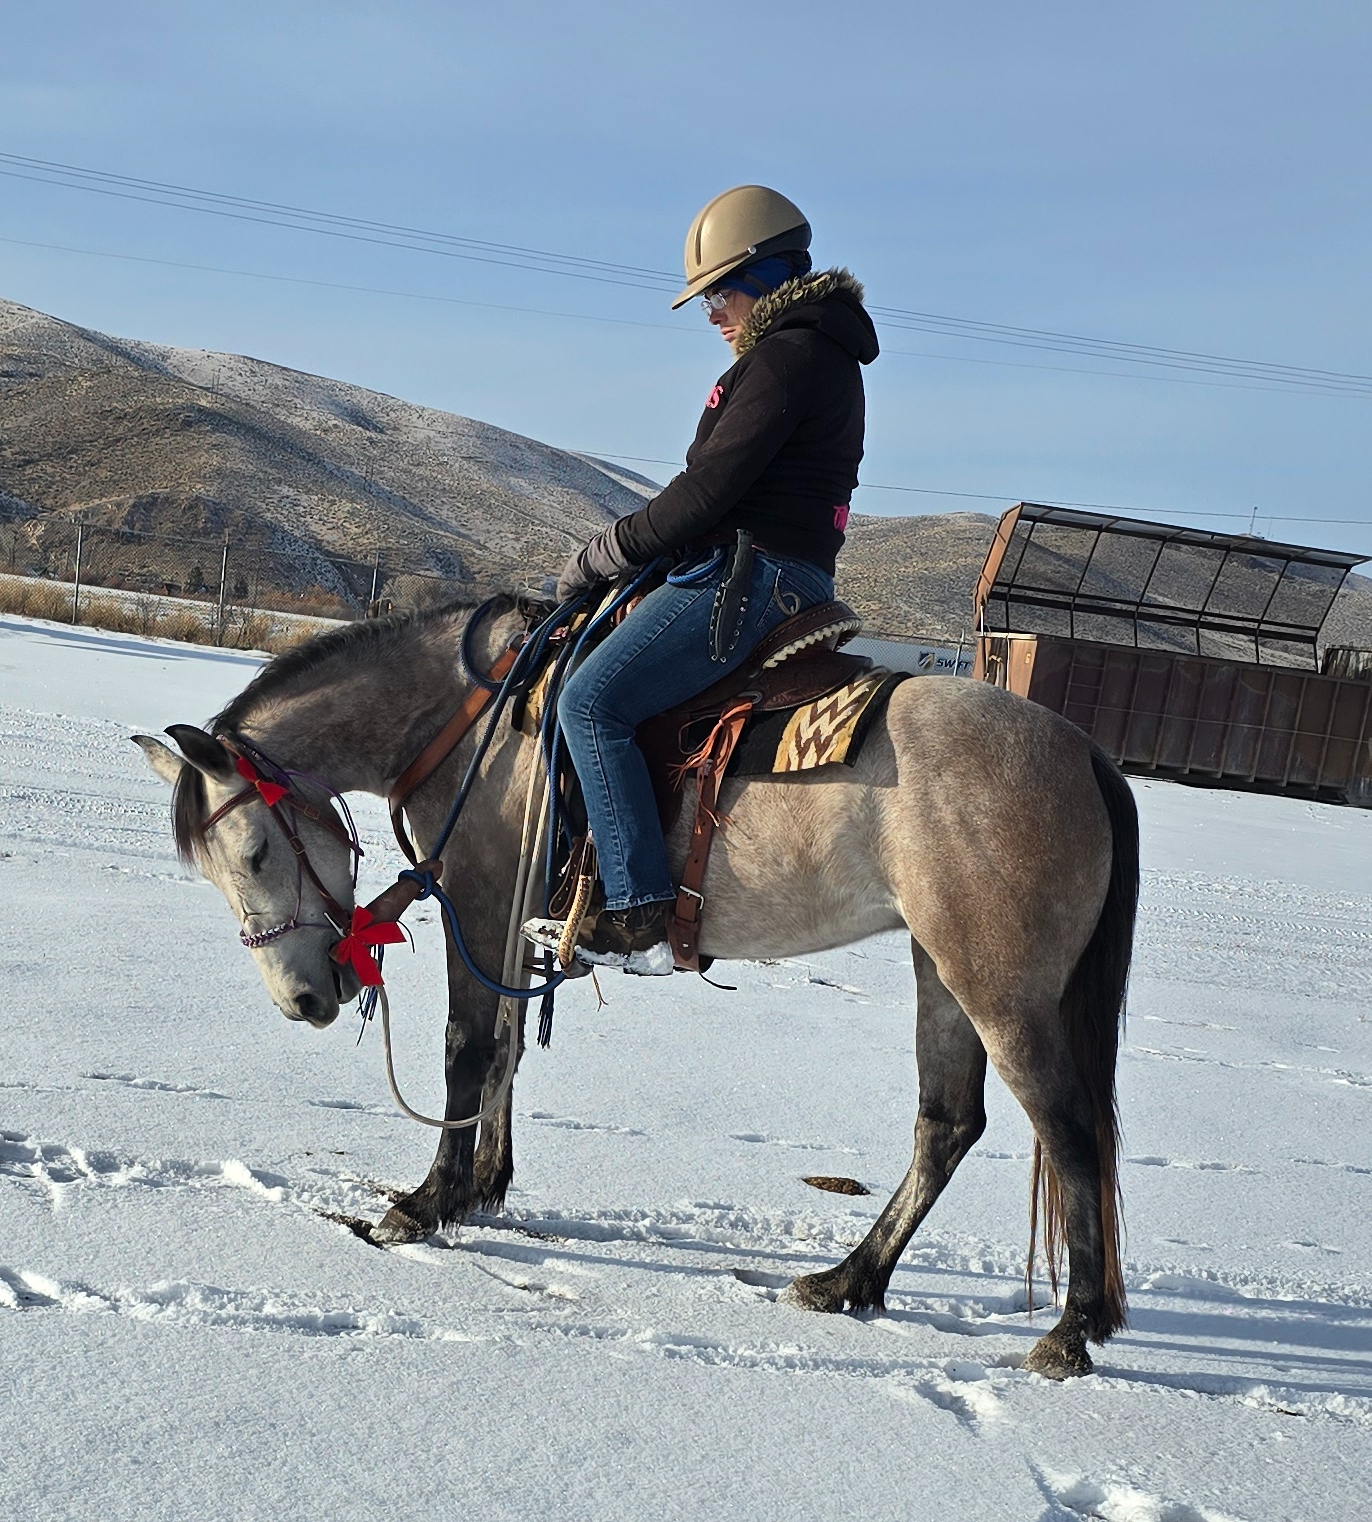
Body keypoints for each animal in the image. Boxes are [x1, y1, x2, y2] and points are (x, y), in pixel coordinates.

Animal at [133, 594, 1139, 1379]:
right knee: (947, 1125)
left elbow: (467, 1049)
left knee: (1068, 1129)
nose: (305, 1001)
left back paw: (1070, 1332)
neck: (465, 725)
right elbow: (504, 1051)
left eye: (255, 853)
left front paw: (425, 1205)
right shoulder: (513, 921)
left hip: (997, 983)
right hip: (941, 967)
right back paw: (848, 1280)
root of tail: (1090, 754)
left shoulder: (481, 900)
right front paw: (484, 1186)